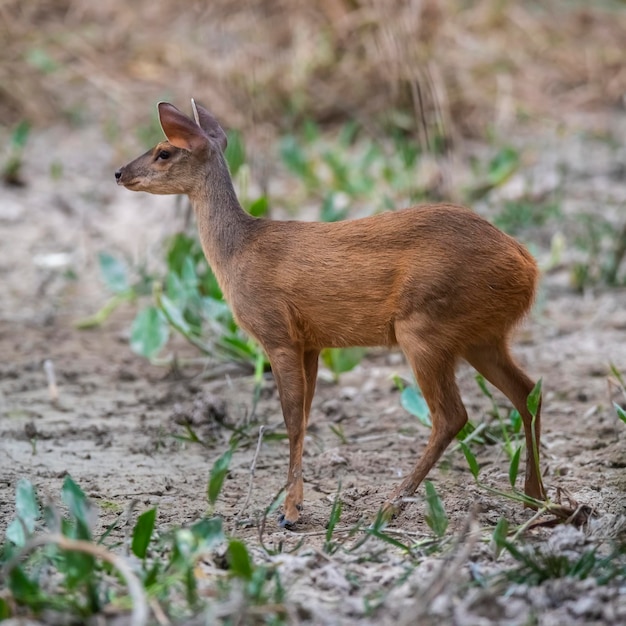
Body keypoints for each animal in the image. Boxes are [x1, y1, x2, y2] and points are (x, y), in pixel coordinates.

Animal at [114, 98, 544, 528]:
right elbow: (305, 416)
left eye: (164, 151)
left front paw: (289, 512)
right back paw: (534, 499)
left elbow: (291, 419)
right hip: (480, 336)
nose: (119, 173)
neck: (239, 252)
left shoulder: (277, 333)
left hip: (424, 327)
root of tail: (528, 265)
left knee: (451, 415)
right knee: (526, 391)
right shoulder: (311, 342)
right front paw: (295, 503)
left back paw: (390, 506)